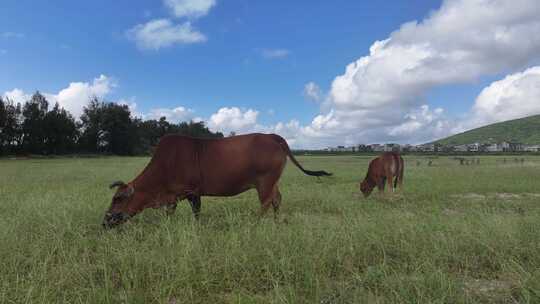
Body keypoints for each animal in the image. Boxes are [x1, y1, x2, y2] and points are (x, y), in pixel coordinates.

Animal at [100, 133, 330, 228]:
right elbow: (171, 212)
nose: (104, 222)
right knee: (277, 199)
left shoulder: (191, 192)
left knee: (266, 202)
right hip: (272, 181)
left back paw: (255, 224)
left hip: (265, 181)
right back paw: (276, 222)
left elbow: (196, 213)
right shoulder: (175, 197)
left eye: (118, 198)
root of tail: (272, 136)